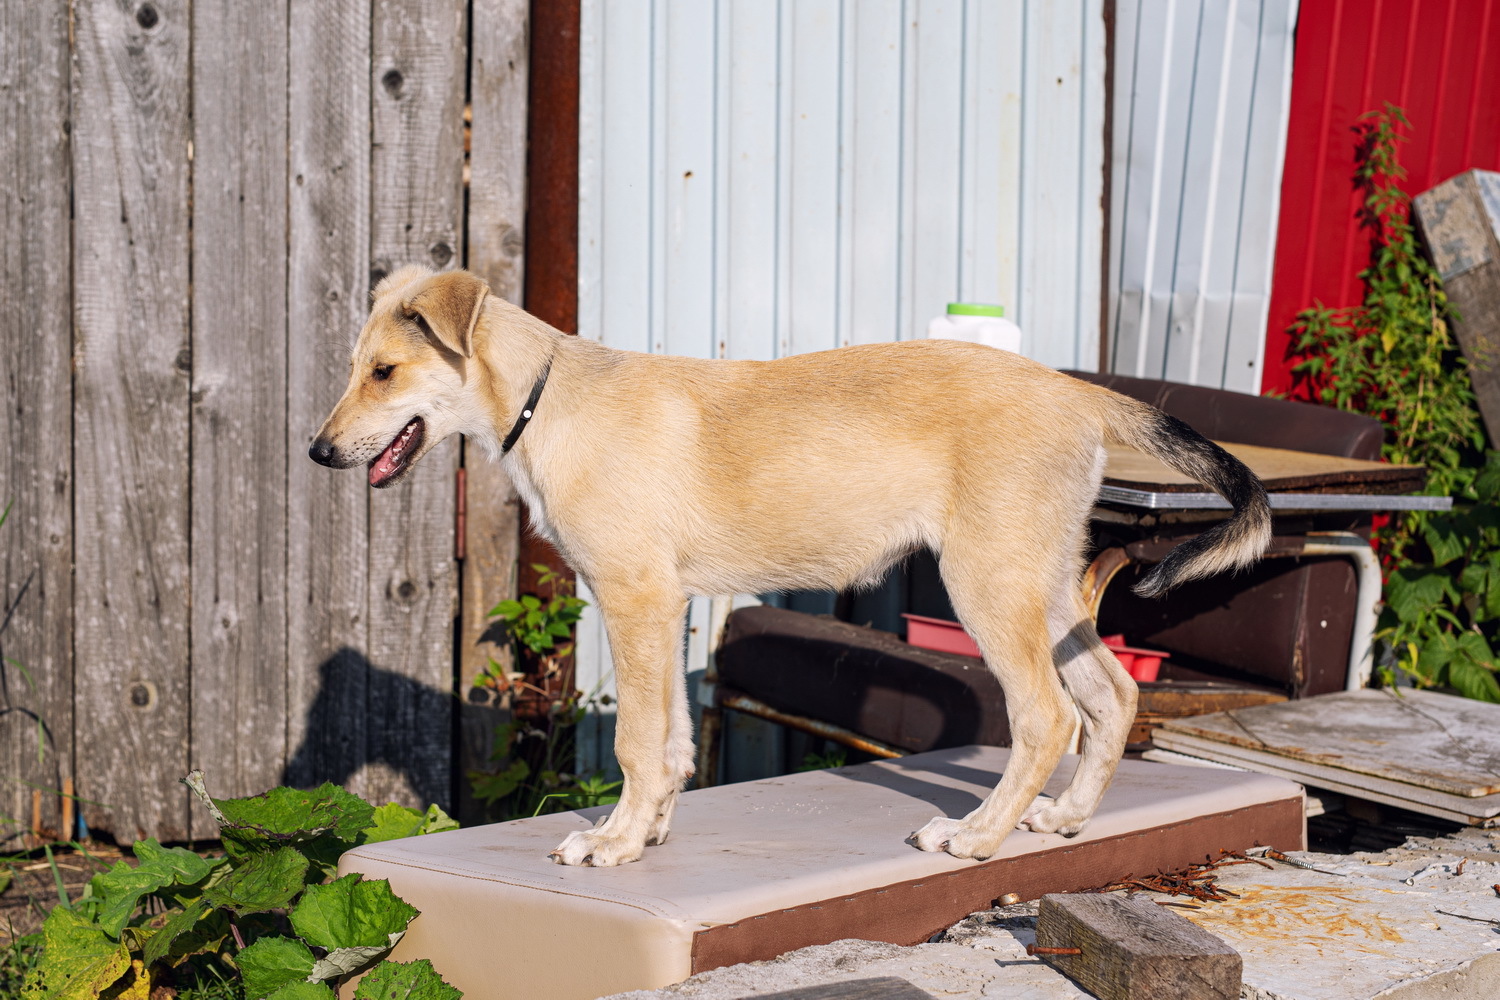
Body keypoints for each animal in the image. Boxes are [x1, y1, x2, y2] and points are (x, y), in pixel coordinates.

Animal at [310, 265, 1272, 869]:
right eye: (354, 368)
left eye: (385, 372)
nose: (318, 452)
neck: (548, 399)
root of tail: (1077, 390)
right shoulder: (672, 606)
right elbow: (672, 741)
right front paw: (646, 833)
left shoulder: (634, 598)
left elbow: (634, 741)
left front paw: (611, 843)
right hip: (1044, 578)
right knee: (1112, 695)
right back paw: (1065, 820)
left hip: (988, 584)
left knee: (1047, 718)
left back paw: (975, 836)